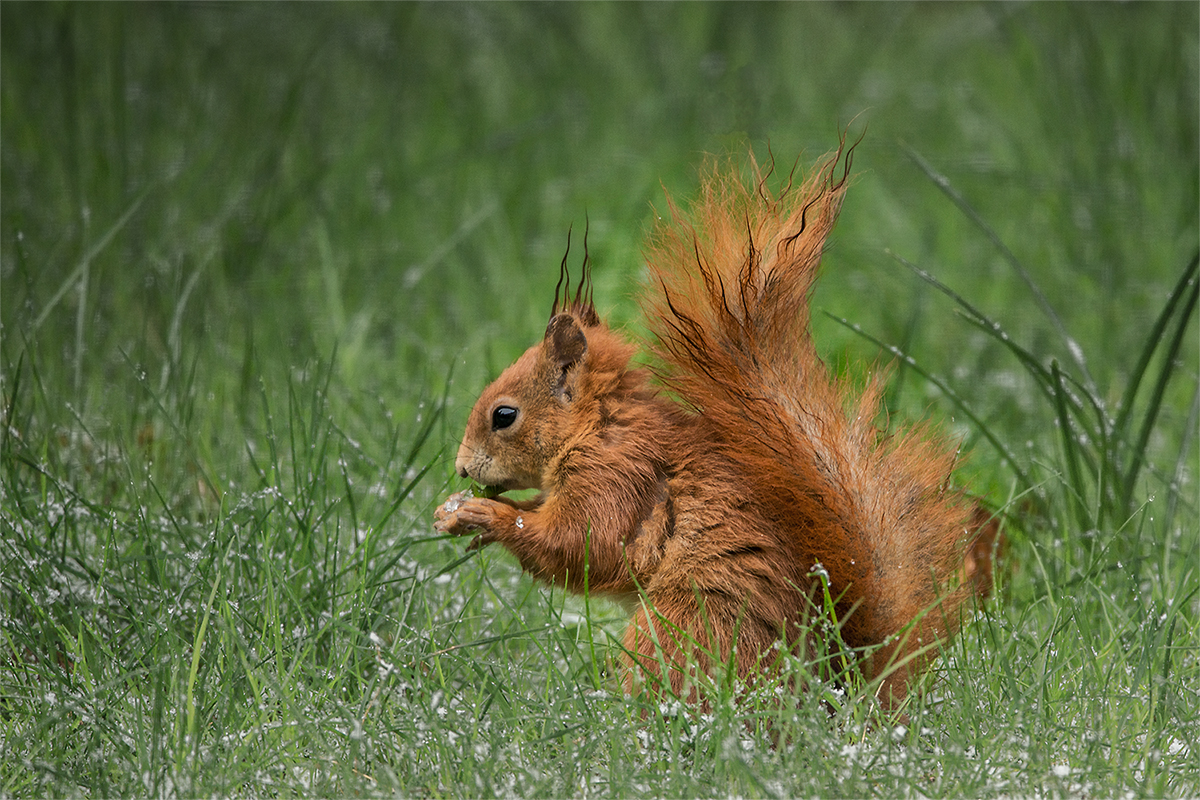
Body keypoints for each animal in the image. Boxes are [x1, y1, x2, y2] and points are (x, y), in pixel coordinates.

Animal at [436, 140, 998, 710]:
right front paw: (463, 514)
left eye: (503, 415)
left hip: (683, 626)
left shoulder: (618, 475)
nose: (461, 469)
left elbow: (584, 546)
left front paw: (490, 516)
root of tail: (832, 698)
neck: (597, 425)